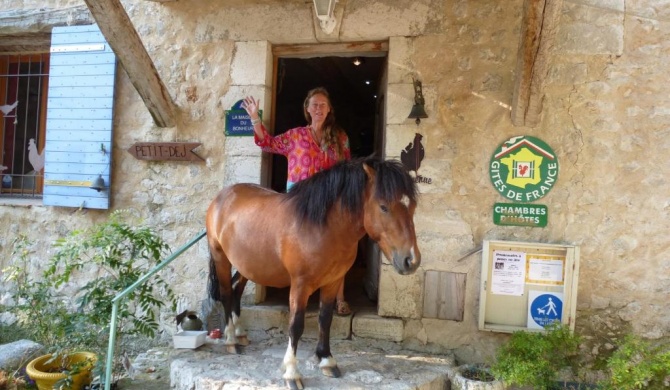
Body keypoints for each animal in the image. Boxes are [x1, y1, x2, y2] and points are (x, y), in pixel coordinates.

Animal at [207, 157, 422, 388]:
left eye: (413, 206)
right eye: (383, 206)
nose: (411, 260)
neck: (323, 228)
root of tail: (222, 197)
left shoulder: (333, 281)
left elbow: (325, 319)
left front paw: (327, 360)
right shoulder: (300, 285)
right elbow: (296, 325)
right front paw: (291, 373)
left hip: (248, 265)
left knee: (236, 291)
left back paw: (240, 334)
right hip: (221, 258)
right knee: (226, 294)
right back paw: (231, 340)